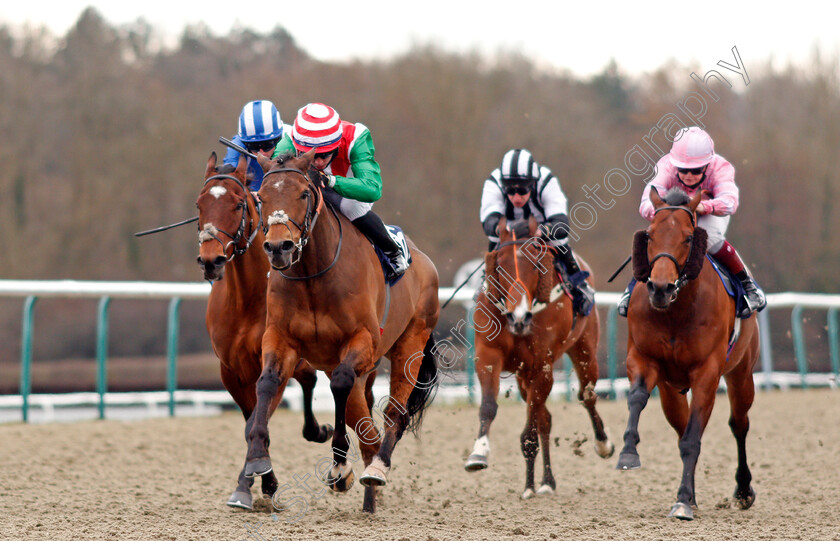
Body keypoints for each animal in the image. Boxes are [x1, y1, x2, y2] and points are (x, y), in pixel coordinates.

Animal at [198, 154, 334, 508]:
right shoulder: (231, 370)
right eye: (199, 204)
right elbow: (250, 421)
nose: (210, 260)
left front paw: (258, 484)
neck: (247, 298)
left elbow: (258, 421)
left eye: (237, 204)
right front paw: (257, 483)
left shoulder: (273, 359)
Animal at [243, 150, 440, 512]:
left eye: (303, 194)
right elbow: (266, 383)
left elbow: (341, 383)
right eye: (261, 198)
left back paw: (377, 469)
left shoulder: (362, 340)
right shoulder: (279, 338)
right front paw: (258, 457)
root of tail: (422, 259)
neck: (314, 274)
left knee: (394, 414)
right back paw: (369, 497)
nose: (279, 247)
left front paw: (339, 466)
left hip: (411, 343)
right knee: (367, 431)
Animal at [462, 215, 612, 498]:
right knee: (546, 419)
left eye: (535, 263)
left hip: (585, 349)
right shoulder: (489, 356)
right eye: (501, 264)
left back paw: (603, 444)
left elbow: (530, 430)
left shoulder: (542, 367)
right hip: (523, 377)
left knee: (587, 395)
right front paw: (479, 453)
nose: (519, 316)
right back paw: (542, 481)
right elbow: (489, 406)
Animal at [616, 187, 760, 520]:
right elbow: (637, 397)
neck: (675, 310)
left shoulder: (707, 372)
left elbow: (694, 439)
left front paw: (682, 501)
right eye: (650, 235)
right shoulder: (644, 359)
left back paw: (742, 490)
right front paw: (628, 452)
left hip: (741, 373)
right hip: (671, 391)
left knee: (739, 424)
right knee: (682, 427)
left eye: (688, 237)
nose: (660, 288)